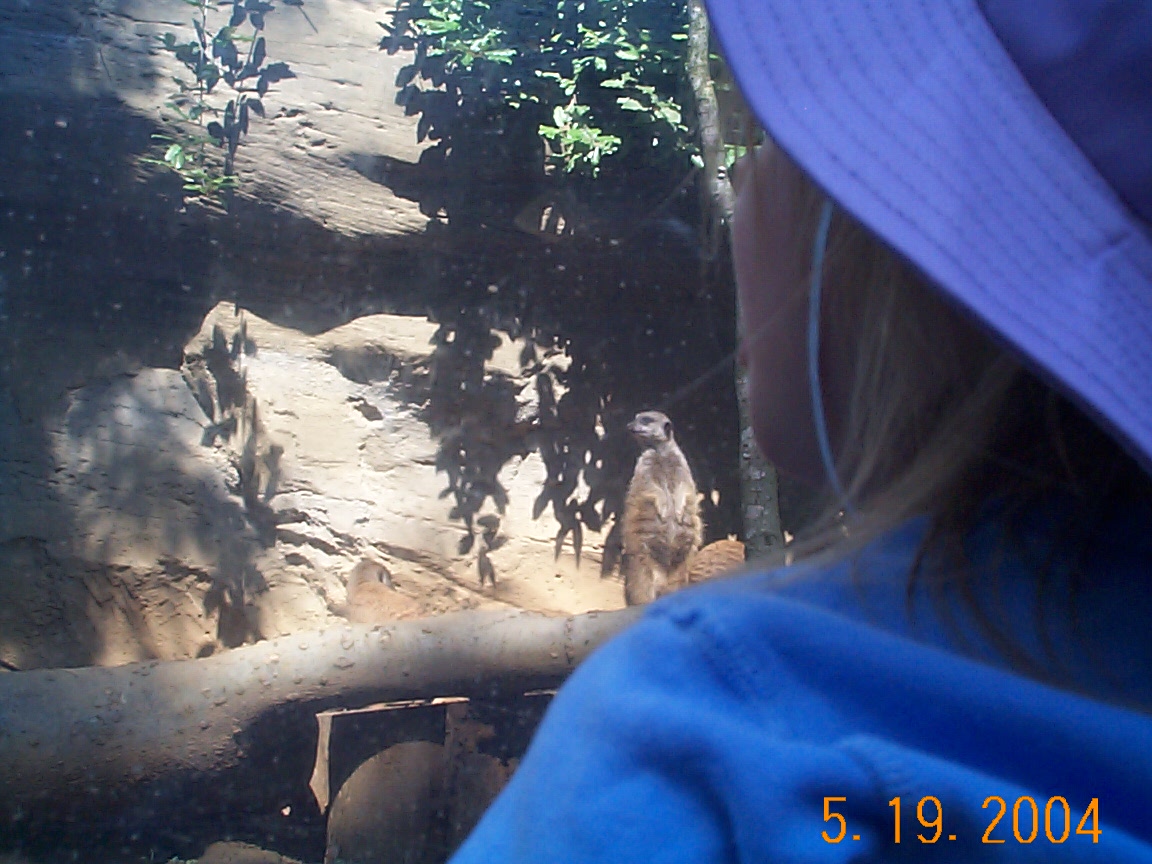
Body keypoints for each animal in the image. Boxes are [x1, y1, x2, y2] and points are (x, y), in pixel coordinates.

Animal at [621, 410, 703, 605]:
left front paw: (678, 510)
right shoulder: (644, 466)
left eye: (646, 420)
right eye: (635, 418)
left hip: (684, 562)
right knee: (641, 583)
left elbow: (685, 487)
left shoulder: (682, 465)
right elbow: (651, 487)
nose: (629, 426)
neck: (662, 454)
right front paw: (665, 508)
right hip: (641, 556)